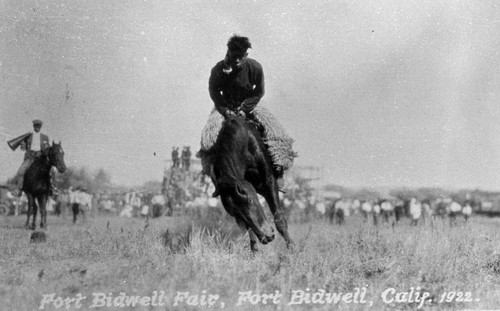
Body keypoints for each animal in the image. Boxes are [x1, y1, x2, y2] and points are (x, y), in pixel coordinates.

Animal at [198, 114, 292, 254]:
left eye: (251, 200)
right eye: (235, 213)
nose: (266, 236)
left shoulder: (269, 182)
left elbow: (279, 218)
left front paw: (293, 250)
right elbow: (249, 230)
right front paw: (255, 252)